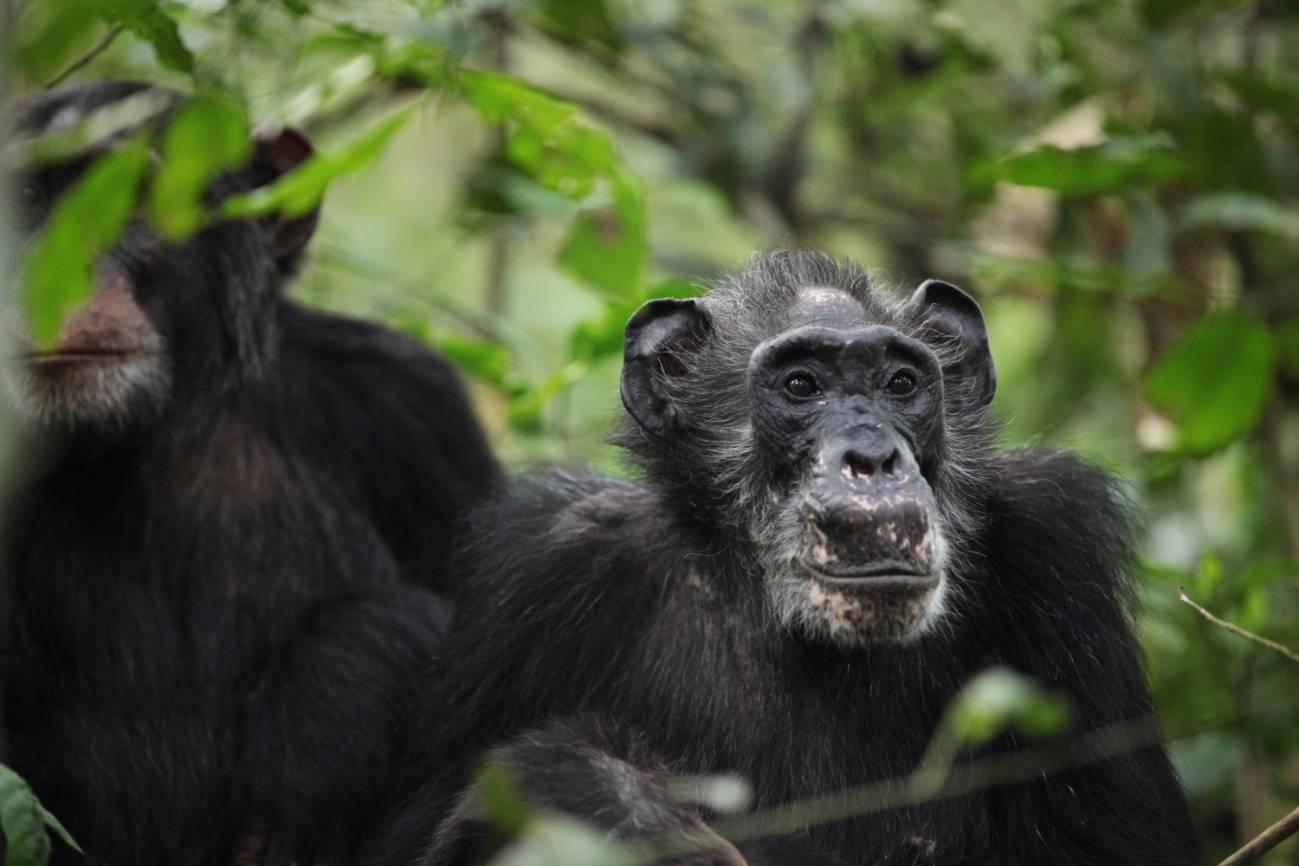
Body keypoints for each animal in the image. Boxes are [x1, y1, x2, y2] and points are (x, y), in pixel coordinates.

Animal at [366, 250, 1195, 866]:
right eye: (801, 385)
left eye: (900, 383)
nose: (870, 456)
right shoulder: (541, 568)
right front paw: (608, 801)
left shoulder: (1057, 552)